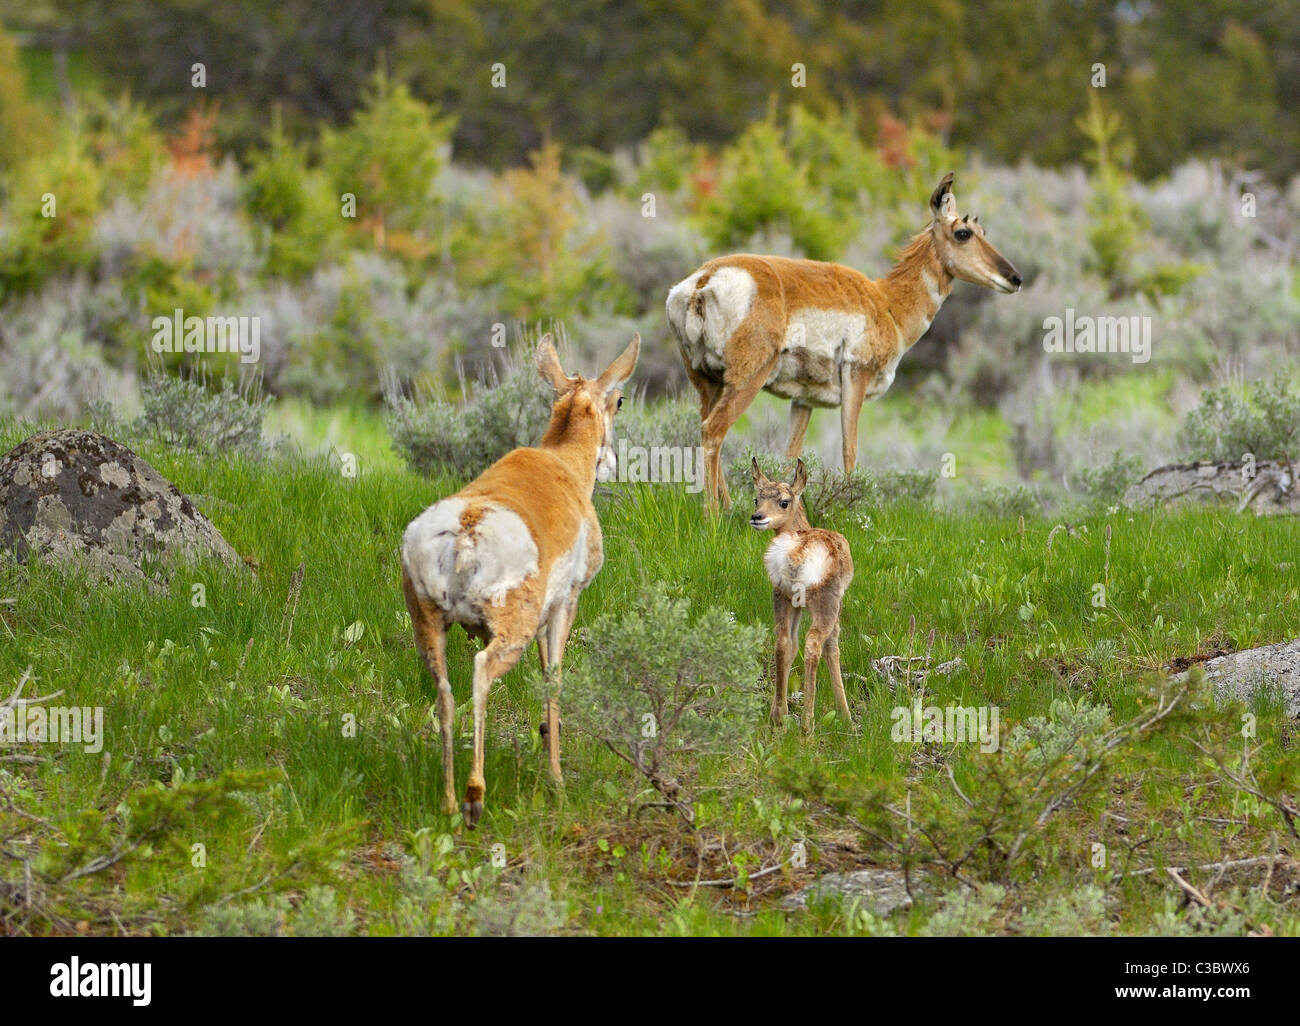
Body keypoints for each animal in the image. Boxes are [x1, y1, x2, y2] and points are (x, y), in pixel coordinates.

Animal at [395, 331, 639, 827]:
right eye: (620, 399)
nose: (612, 462)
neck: (562, 463)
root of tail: (466, 526)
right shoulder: (566, 605)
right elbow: (554, 679)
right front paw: (557, 779)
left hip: (428, 626)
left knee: (445, 693)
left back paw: (449, 802)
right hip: (511, 631)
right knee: (481, 673)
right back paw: (475, 796)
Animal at [670, 172, 1024, 507]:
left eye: (982, 231)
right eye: (963, 233)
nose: (1015, 278)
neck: (886, 302)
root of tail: (703, 281)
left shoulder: (804, 401)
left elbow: (790, 456)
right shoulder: (857, 377)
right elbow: (849, 449)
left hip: (708, 383)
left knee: (706, 426)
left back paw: (729, 508)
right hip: (748, 379)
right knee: (713, 431)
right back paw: (713, 516)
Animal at [754, 460, 852, 733]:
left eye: (783, 501)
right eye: (757, 498)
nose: (757, 516)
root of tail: (796, 550)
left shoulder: (794, 604)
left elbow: (790, 646)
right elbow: (833, 648)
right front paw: (847, 717)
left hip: (782, 598)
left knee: (783, 641)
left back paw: (778, 715)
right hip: (825, 605)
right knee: (814, 644)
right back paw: (808, 724)